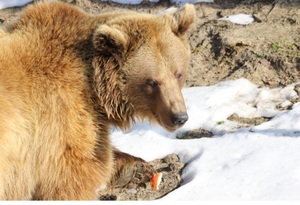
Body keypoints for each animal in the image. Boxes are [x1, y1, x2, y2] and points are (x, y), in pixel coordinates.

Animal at [0, 0, 195, 199]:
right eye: (152, 82)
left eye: (178, 74)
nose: (179, 117)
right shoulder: (62, 124)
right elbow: (71, 179)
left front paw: (136, 167)